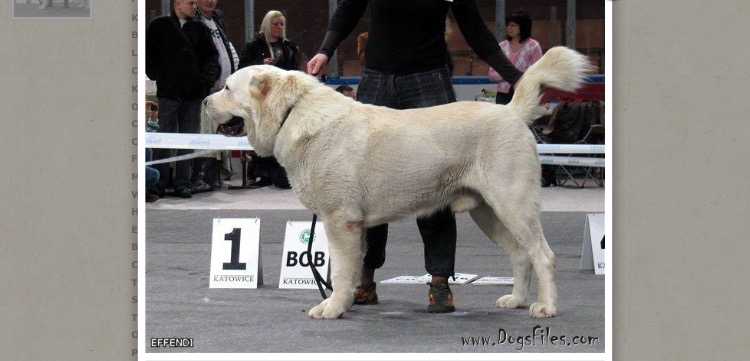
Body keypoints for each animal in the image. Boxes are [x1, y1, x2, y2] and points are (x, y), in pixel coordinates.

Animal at [201, 46, 592, 320]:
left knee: (542, 255)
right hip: (488, 212)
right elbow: (354, 268)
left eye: (228, 88)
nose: (204, 101)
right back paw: (517, 300)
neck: (290, 112)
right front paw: (347, 302)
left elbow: (340, 270)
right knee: (521, 254)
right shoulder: (352, 224)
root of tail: (511, 112)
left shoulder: (340, 220)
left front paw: (332, 308)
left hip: (513, 204)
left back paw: (546, 307)